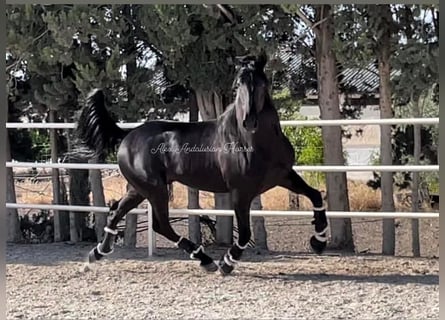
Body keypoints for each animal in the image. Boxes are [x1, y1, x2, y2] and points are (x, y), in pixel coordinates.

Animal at [76, 53, 328, 274]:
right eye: (238, 83)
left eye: (261, 83)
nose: (249, 121)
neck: (255, 143)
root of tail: (128, 134)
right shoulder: (241, 192)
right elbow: (245, 234)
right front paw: (227, 263)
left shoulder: (283, 176)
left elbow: (315, 195)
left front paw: (319, 241)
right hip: (154, 189)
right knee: (161, 225)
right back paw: (206, 261)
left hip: (138, 189)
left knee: (117, 211)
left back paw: (96, 254)